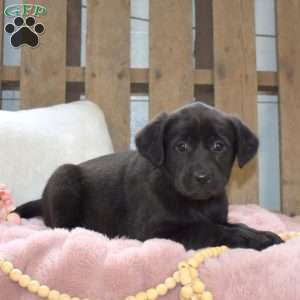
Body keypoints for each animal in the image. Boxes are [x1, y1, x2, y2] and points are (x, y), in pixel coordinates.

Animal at [15, 102, 282, 250]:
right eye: (181, 147)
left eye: (219, 146)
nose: (202, 177)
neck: (195, 203)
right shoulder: (155, 232)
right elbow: (207, 229)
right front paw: (249, 239)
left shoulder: (218, 217)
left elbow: (234, 223)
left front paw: (262, 233)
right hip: (64, 178)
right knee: (64, 228)